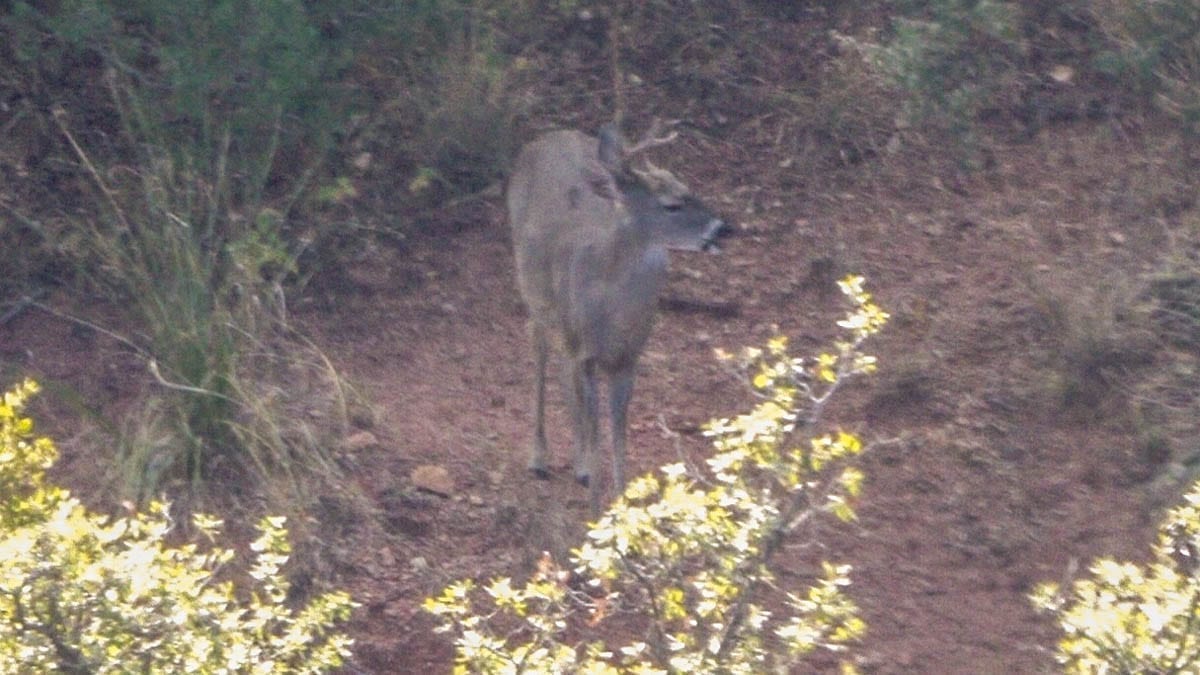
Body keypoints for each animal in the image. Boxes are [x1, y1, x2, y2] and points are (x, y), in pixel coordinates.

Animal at [504, 120, 724, 509]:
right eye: (671, 204)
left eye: (688, 188)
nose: (719, 228)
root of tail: (548, 137)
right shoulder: (587, 352)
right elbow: (597, 430)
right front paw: (596, 509)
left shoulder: (627, 357)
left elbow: (618, 434)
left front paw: (622, 505)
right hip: (534, 287)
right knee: (538, 345)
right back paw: (539, 456)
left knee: (562, 366)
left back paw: (578, 465)